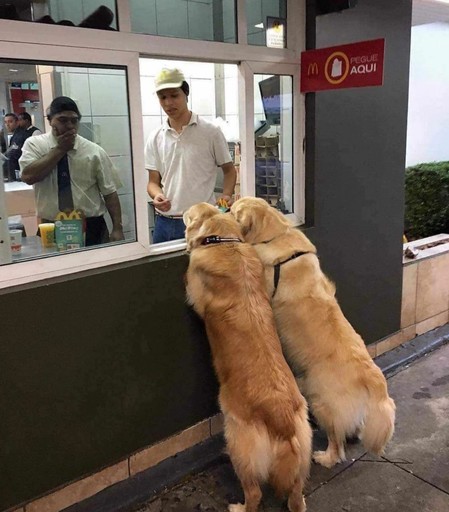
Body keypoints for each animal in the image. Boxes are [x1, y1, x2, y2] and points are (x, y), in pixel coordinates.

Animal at [183, 202, 312, 510]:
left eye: (189, 213)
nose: (179, 213)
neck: (225, 242)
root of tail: (281, 418)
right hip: (303, 448)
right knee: (296, 493)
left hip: (238, 441)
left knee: (254, 493)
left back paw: (238, 506)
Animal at [231, 198, 396, 470]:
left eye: (234, 210)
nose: (225, 205)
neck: (277, 233)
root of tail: (374, 377)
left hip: (320, 400)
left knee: (337, 443)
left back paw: (325, 458)